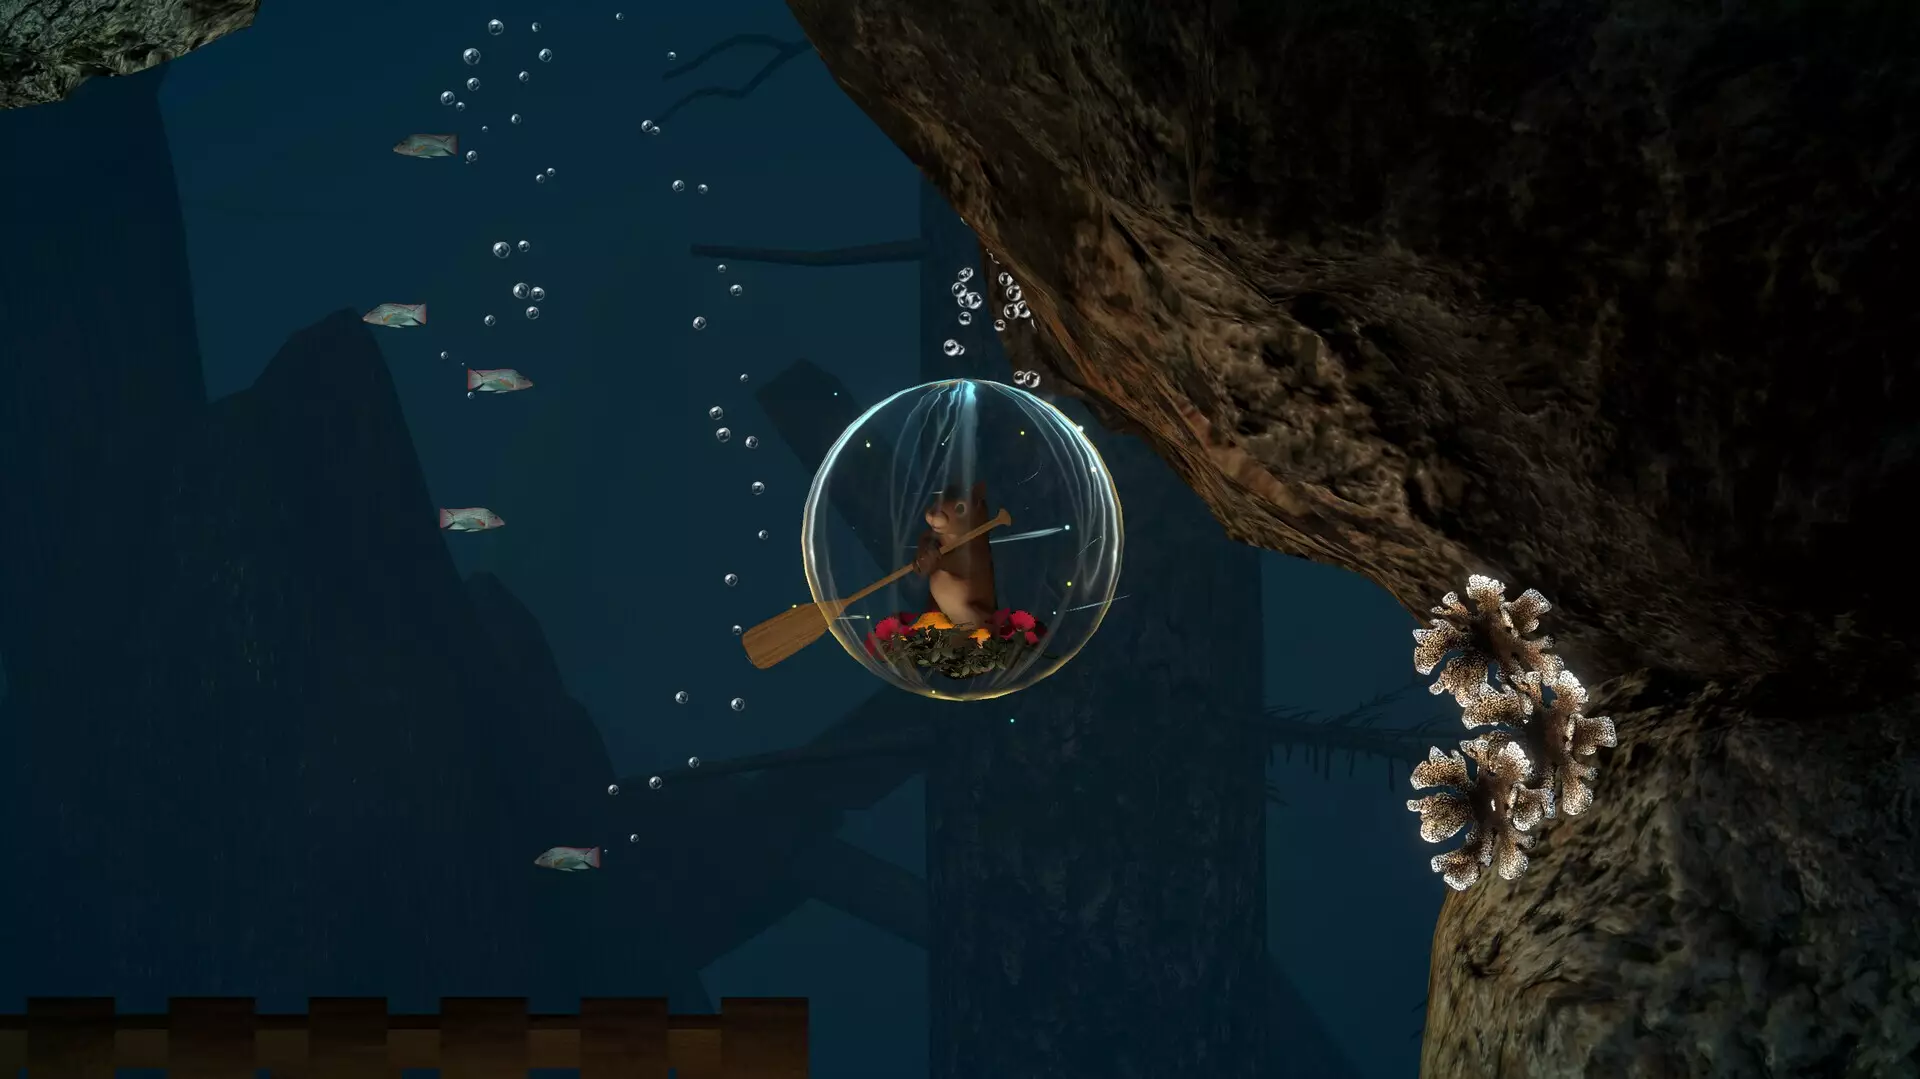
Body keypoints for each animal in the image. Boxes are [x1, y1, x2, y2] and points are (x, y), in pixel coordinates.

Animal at [913, 480, 999, 629]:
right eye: (939, 495)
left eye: (960, 508)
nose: (932, 514)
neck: (951, 539)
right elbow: (924, 537)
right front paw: (921, 557)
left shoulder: (977, 558)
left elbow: (958, 564)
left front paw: (929, 560)